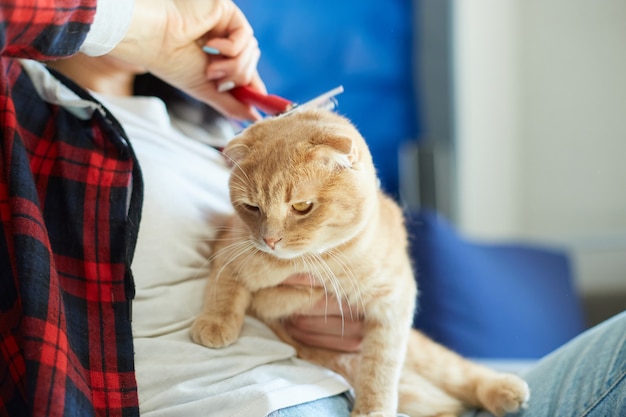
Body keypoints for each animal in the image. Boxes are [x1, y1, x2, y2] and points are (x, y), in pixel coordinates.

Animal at [189, 109, 528, 414]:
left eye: (302, 206)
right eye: (252, 207)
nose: (270, 240)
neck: (310, 262)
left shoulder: (393, 303)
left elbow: (380, 367)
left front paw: (372, 410)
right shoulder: (230, 249)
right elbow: (224, 288)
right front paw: (215, 323)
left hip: (423, 353)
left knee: (461, 372)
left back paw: (503, 389)